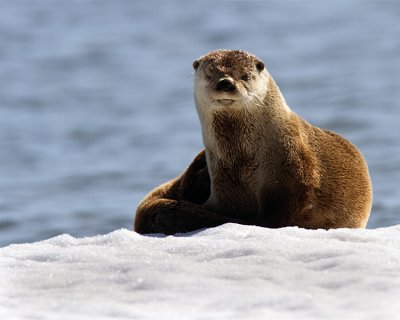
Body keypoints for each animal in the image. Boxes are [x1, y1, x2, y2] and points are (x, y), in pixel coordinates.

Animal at [134, 50, 372, 235]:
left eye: (244, 76)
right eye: (211, 74)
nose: (225, 82)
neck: (242, 160)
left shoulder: (293, 173)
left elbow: (279, 216)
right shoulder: (223, 186)